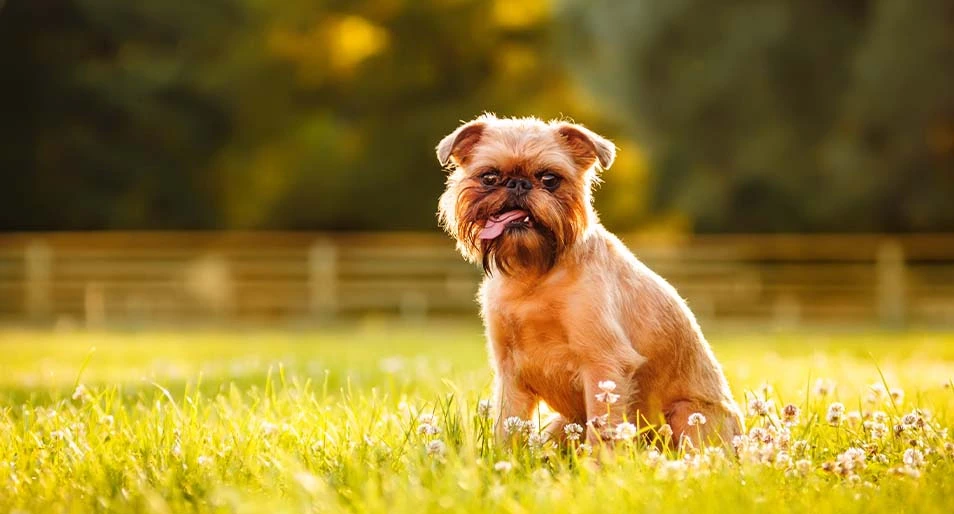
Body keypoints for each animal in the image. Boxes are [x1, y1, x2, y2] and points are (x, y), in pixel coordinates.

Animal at [436, 114, 740, 446]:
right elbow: (507, 427)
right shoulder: (510, 375)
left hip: (688, 416)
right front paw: (504, 457)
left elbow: (602, 433)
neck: (534, 274)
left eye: (550, 179)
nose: (518, 183)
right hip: (564, 424)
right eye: (489, 177)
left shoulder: (604, 365)